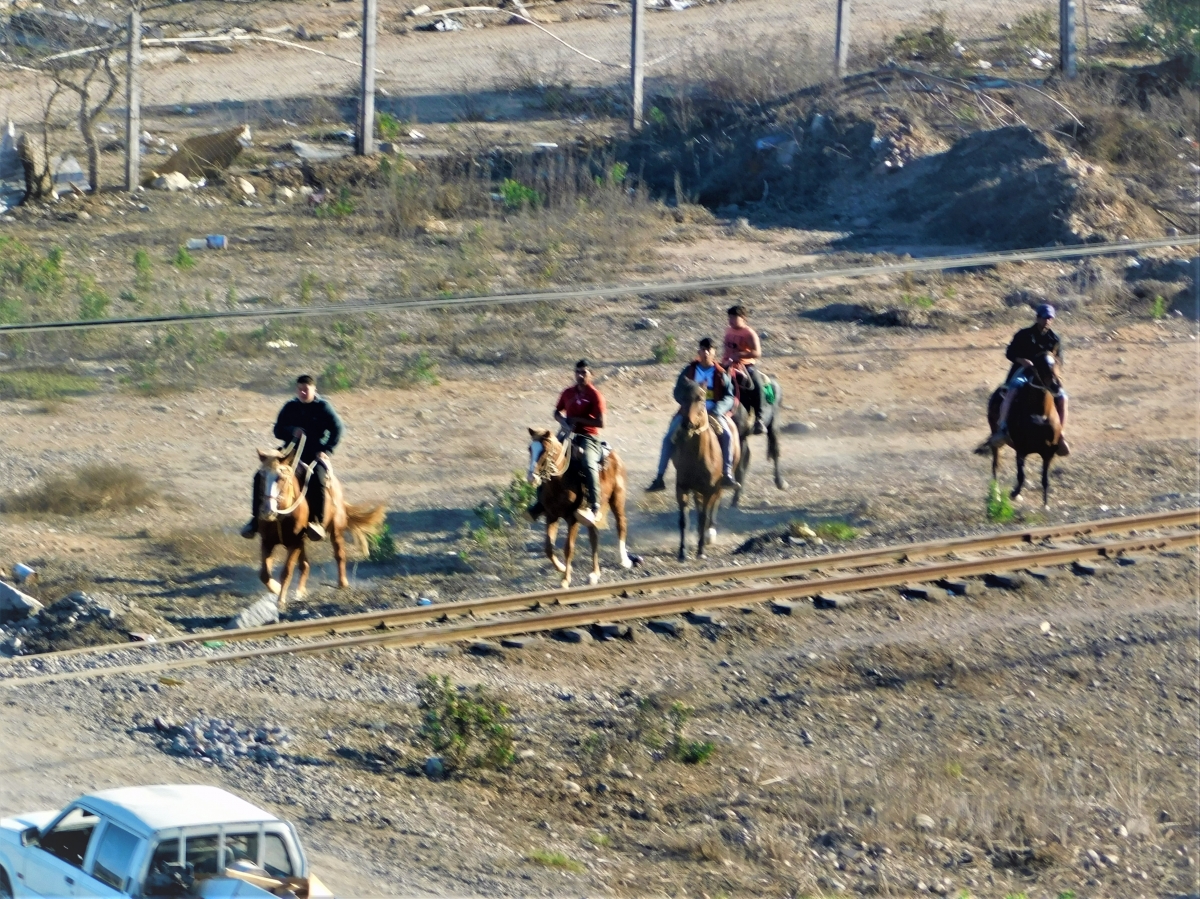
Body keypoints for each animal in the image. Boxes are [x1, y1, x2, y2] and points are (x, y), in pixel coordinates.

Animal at [253, 444, 384, 607]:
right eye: (262, 476)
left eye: (281, 478)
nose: (267, 511)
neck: (280, 516)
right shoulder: (267, 542)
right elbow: (264, 574)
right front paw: (276, 589)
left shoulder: (294, 543)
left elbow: (286, 571)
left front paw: (281, 600)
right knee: (305, 565)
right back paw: (300, 592)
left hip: (336, 529)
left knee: (339, 554)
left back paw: (342, 583)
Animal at [528, 427, 638, 588]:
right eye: (530, 449)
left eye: (545, 450)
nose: (532, 478)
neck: (560, 482)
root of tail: (615, 457)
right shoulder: (551, 515)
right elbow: (548, 547)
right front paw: (562, 568)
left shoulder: (572, 519)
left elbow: (569, 548)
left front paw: (565, 580)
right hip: (592, 514)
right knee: (594, 537)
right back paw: (594, 574)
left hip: (617, 499)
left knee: (621, 524)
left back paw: (624, 560)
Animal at [676, 381, 739, 561]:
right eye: (682, 397)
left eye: (701, 399)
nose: (687, 425)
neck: (697, 455)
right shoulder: (682, 488)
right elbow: (683, 519)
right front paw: (682, 552)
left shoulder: (709, 489)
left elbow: (704, 516)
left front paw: (701, 550)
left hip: (718, 486)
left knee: (713, 506)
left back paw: (709, 534)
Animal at [974, 348, 1070, 504]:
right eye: (1039, 364)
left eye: (1056, 361)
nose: (1056, 386)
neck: (1040, 414)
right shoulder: (1021, 450)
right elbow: (1021, 475)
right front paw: (1014, 493)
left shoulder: (1048, 453)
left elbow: (1045, 480)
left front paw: (1045, 504)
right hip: (995, 436)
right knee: (996, 464)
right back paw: (996, 493)